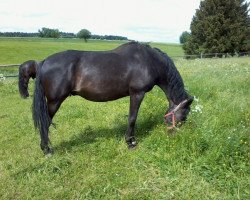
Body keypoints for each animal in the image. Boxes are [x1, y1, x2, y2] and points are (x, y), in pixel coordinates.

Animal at [32, 41, 193, 155]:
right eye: (183, 116)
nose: (173, 135)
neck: (149, 61)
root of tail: (44, 62)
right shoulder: (137, 93)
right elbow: (132, 118)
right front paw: (130, 142)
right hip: (54, 101)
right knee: (46, 122)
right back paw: (47, 150)